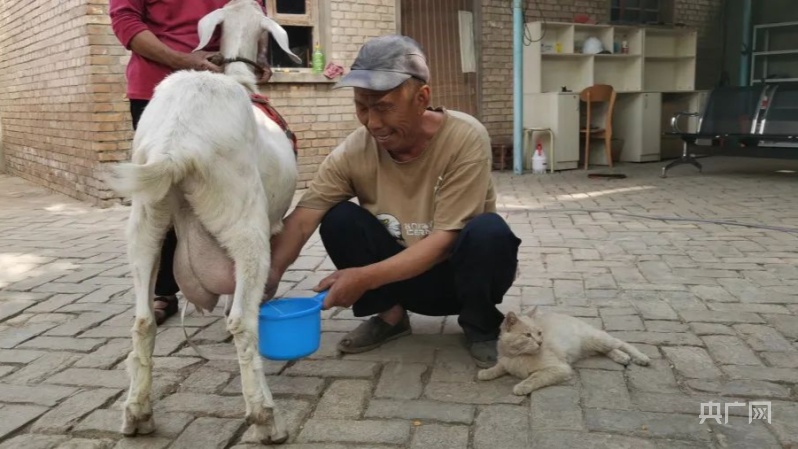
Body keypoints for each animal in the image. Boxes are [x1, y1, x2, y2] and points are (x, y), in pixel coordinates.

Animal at [104, 0, 302, 442]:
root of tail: (175, 145)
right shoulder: (272, 224)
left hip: (145, 219)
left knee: (142, 319)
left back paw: (137, 414)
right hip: (244, 220)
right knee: (242, 322)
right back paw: (266, 418)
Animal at [478, 306, 652, 394]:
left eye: (539, 333)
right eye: (527, 335)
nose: (540, 342)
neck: (516, 356)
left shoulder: (559, 368)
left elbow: (534, 378)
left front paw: (522, 386)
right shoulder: (506, 362)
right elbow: (499, 367)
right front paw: (486, 372)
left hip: (598, 340)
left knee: (622, 343)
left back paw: (640, 357)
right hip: (593, 346)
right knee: (610, 349)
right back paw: (621, 357)